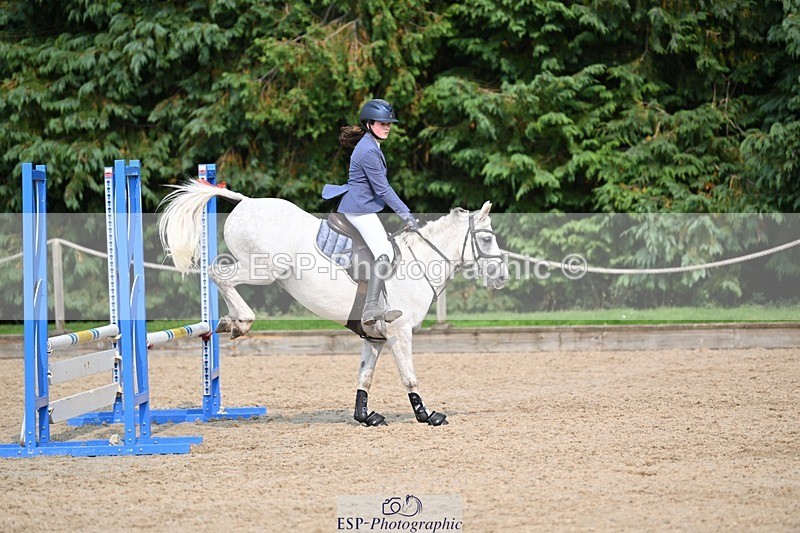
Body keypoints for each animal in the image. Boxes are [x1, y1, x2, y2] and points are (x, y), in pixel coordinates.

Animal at [158, 180, 509, 426]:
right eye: (487, 238)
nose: (502, 275)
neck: (418, 263)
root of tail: (247, 202)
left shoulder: (375, 338)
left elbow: (365, 376)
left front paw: (365, 416)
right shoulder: (400, 331)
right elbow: (409, 376)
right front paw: (427, 415)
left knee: (219, 276)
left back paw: (229, 320)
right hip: (264, 270)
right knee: (219, 273)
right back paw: (241, 320)